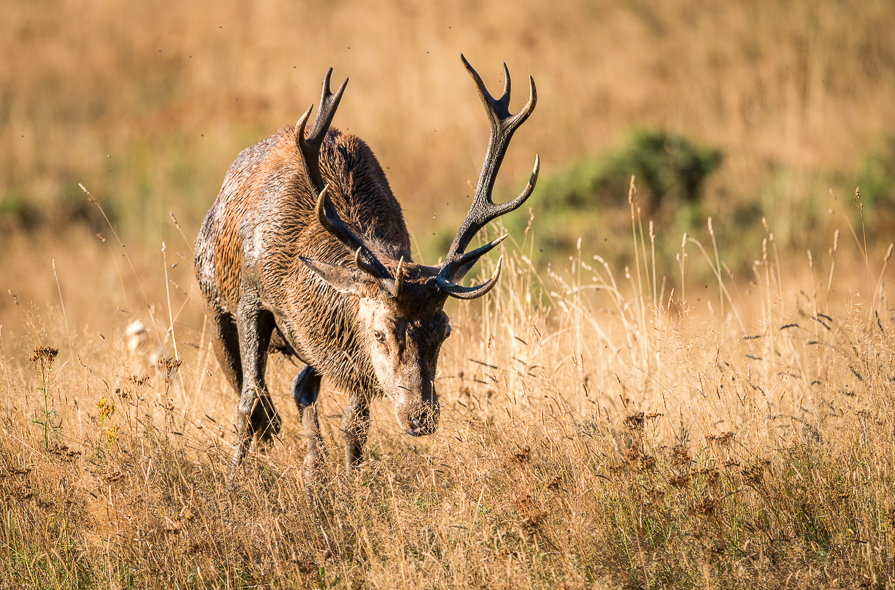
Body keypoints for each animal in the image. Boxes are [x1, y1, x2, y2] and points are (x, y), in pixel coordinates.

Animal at [192, 56, 536, 480]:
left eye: (444, 332)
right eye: (379, 334)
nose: (420, 417)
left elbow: (355, 424)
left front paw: (350, 481)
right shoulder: (252, 301)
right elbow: (248, 401)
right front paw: (235, 479)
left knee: (300, 385)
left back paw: (314, 467)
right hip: (214, 302)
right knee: (252, 393)